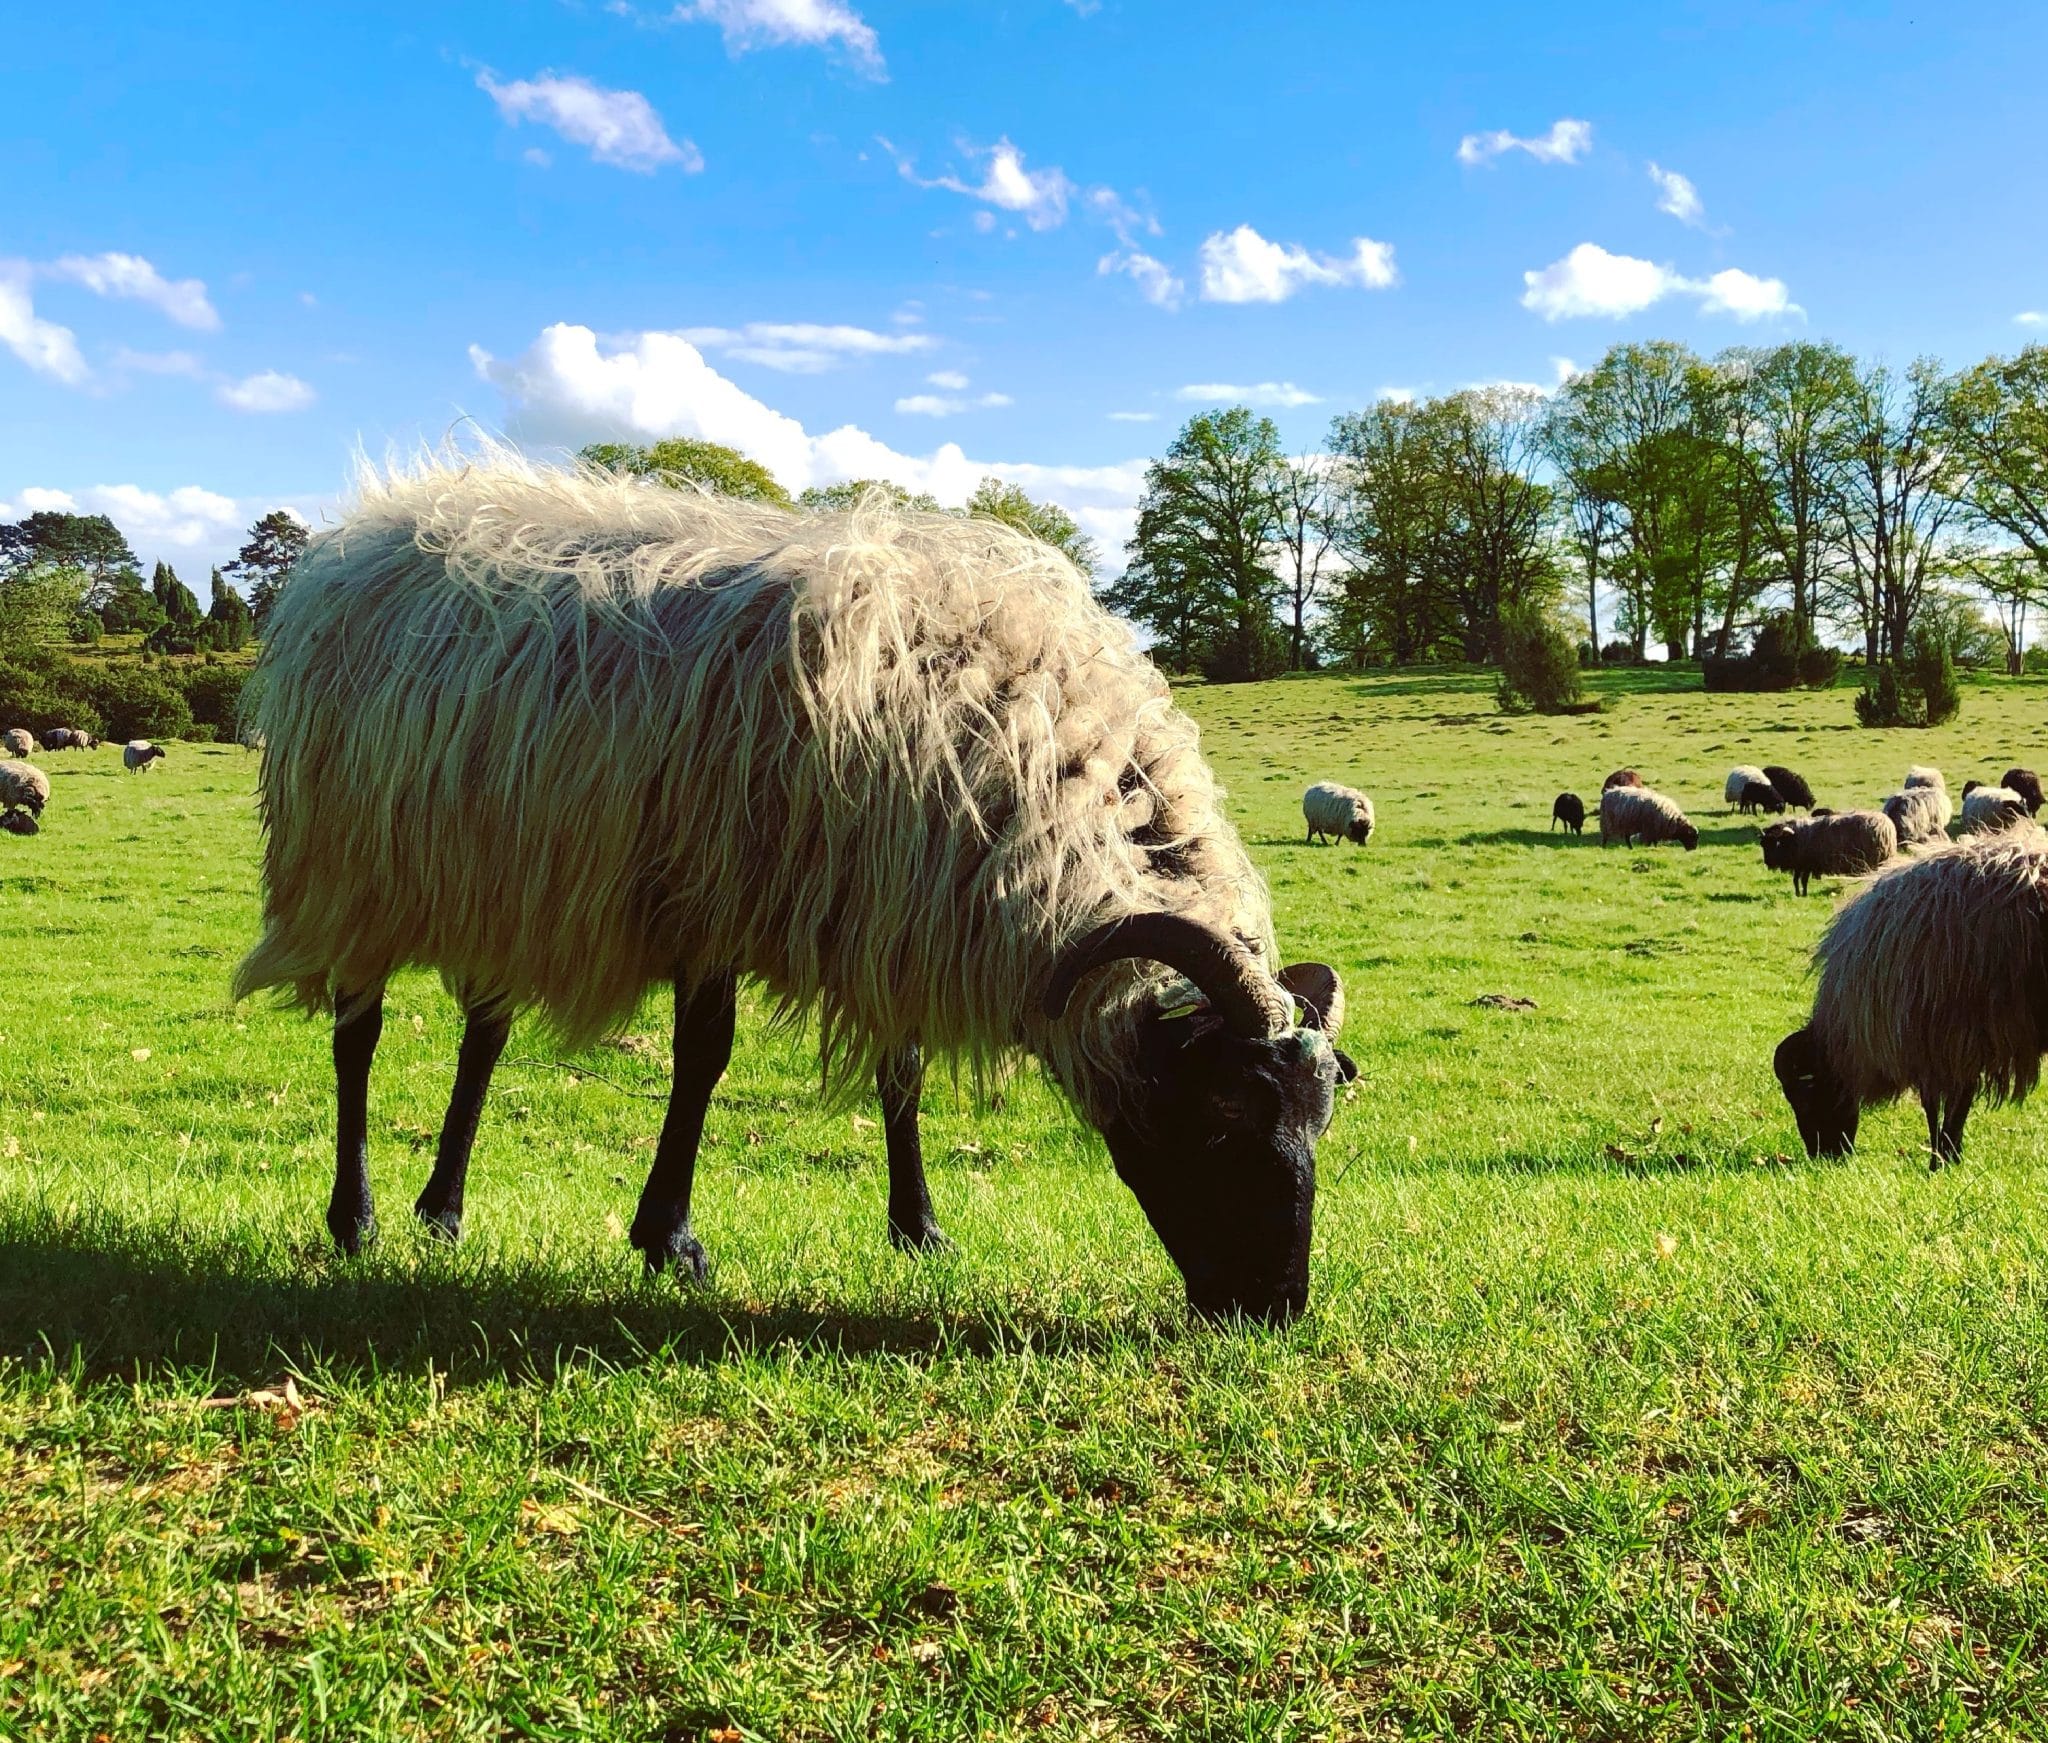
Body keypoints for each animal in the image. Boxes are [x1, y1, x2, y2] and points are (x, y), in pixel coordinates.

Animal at [235, 450, 1359, 1319]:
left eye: (1319, 1124)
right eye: (1219, 1119)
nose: (1273, 1309)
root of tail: (377, 525)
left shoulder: (898, 904)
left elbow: (901, 1071)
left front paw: (918, 1228)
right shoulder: (713, 894)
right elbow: (702, 1059)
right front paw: (670, 1240)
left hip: (502, 882)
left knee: (483, 1036)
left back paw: (443, 1210)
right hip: (354, 871)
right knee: (356, 1035)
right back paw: (356, 1218)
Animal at [1753, 811, 1892, 893]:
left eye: (1776, 843)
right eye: (1763, 845)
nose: (1768, 863)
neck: (1794, 838)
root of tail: (1887, 827)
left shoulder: (1807, 865)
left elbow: (1803, 880)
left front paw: (1803, 894)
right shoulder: (1800, 865)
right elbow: (1796, 880)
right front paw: (1798, 894)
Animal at [1777, 835, 2048, 1171]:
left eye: (1804, 1095)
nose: (1823, 1155)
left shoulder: (1933, 1041)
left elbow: (1940, 1107)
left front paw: (1939, 1160)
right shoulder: (1957, 1044)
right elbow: (1957, 1102)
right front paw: (1950, 1156)